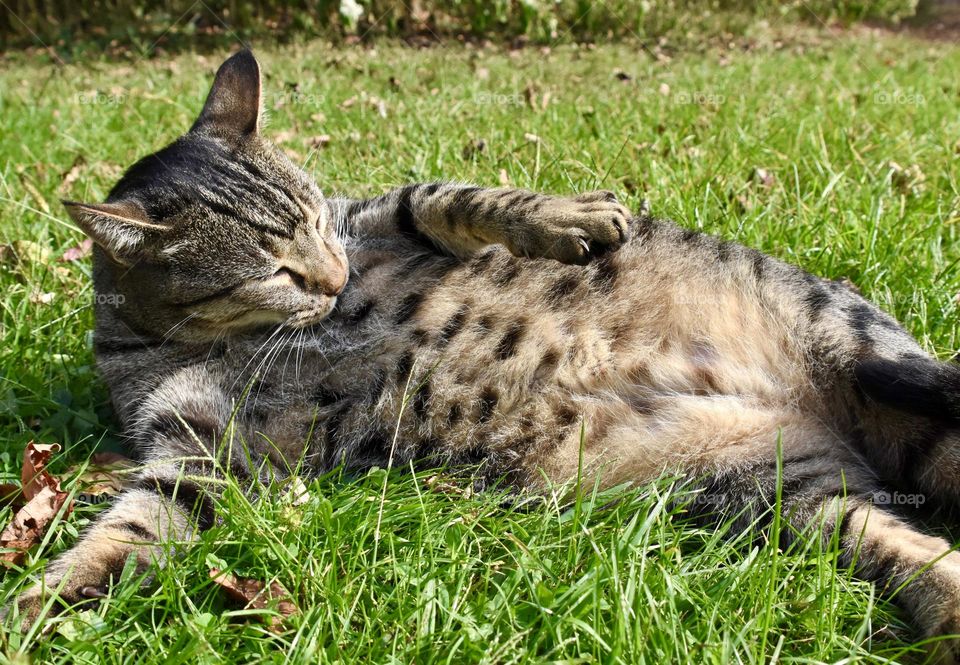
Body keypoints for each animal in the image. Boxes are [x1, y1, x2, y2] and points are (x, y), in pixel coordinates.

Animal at [11, 50, 960, 660]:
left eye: (315, 218)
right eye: (275, 268)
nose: (334, 276)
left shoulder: (376, 215)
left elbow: (451, 195)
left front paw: (570, 220)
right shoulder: (198, 451)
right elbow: (130, 531)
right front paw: (41, 605)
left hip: (865, 360)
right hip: (786, 490)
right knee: (908, 544)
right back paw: (948, 607)